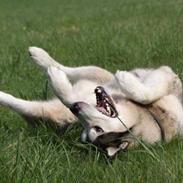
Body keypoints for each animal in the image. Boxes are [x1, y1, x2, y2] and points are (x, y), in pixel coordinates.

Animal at [0, 46, 183, 157]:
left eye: (97, 129)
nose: (75, 108)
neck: (151, 115)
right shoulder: (167, 75)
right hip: (94, 72)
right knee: (68, 69)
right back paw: (40, 55)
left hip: (53, 112)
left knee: (22, 103)